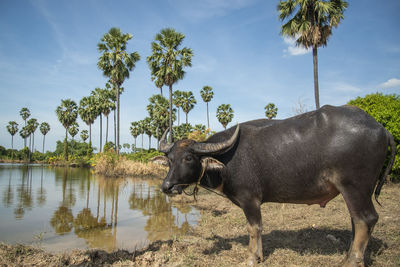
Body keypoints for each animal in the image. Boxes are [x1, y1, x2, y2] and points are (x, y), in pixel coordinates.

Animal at [158, 105, 396, 266]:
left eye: (188, 158)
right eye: (169, 159)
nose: (166, 186)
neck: (225, 160)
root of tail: (381, 128)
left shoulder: (250, 200)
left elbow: (254, 228)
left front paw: (251, 258)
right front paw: (260, 256)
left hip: (355, 187)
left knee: (366, 219)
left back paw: (351, 261)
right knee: (356, 220)